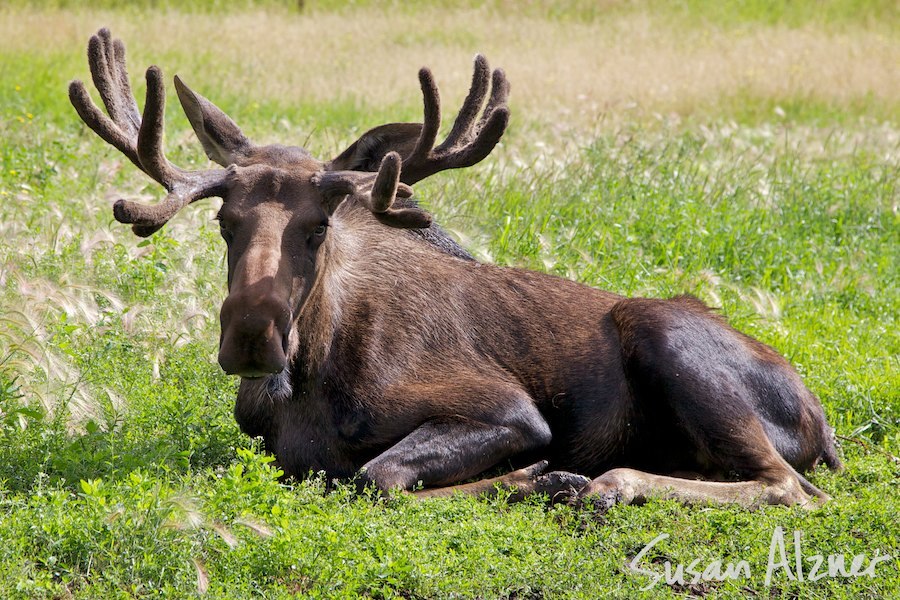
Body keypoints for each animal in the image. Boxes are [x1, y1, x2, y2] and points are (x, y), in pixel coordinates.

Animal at [72, 30, 844, 508]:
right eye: (224, 223)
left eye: (320, 226)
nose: (253, 340)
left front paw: (538, 477)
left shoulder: (508, 409)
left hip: (664, 334)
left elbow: (377, 474)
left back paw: (606, 482)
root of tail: (824, 423)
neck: (312, 376)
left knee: (790, 487)